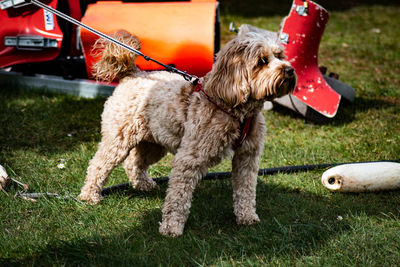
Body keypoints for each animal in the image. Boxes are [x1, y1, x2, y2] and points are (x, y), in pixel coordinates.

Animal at [79, 30, 296, 238]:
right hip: (118, 140)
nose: (290, 70)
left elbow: (246, 191)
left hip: (155, 143)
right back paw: (89, 196)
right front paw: (171, 228)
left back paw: (144, 184)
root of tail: (133, 73)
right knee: (97, 165)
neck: (236, 111)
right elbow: (178, 197)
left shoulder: (248, 157)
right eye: (262, 61)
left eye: (280, 55)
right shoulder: (189, 159)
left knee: (133, 163)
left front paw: (247, 217)